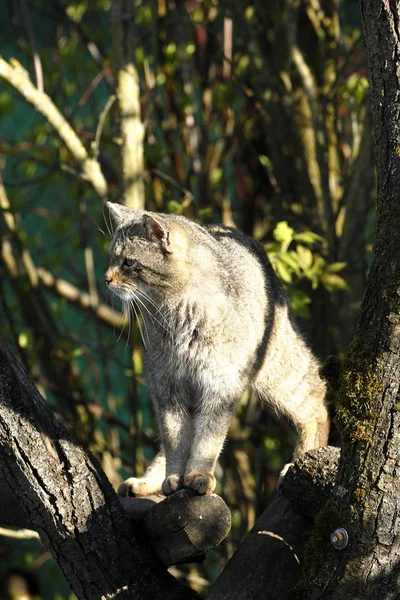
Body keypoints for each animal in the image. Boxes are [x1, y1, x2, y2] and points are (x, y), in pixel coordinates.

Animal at [104, 203, 330, 496]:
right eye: (111, 257)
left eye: (129, 262)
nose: (106, 278)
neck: (176, 313)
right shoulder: (166, 387)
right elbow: (175, 441)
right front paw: (173, 477)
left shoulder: (219, 386)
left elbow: (207, 441)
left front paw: (199, 474)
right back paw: (148, 482)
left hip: (279, 373)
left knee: (317, 401)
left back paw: (302, 459)